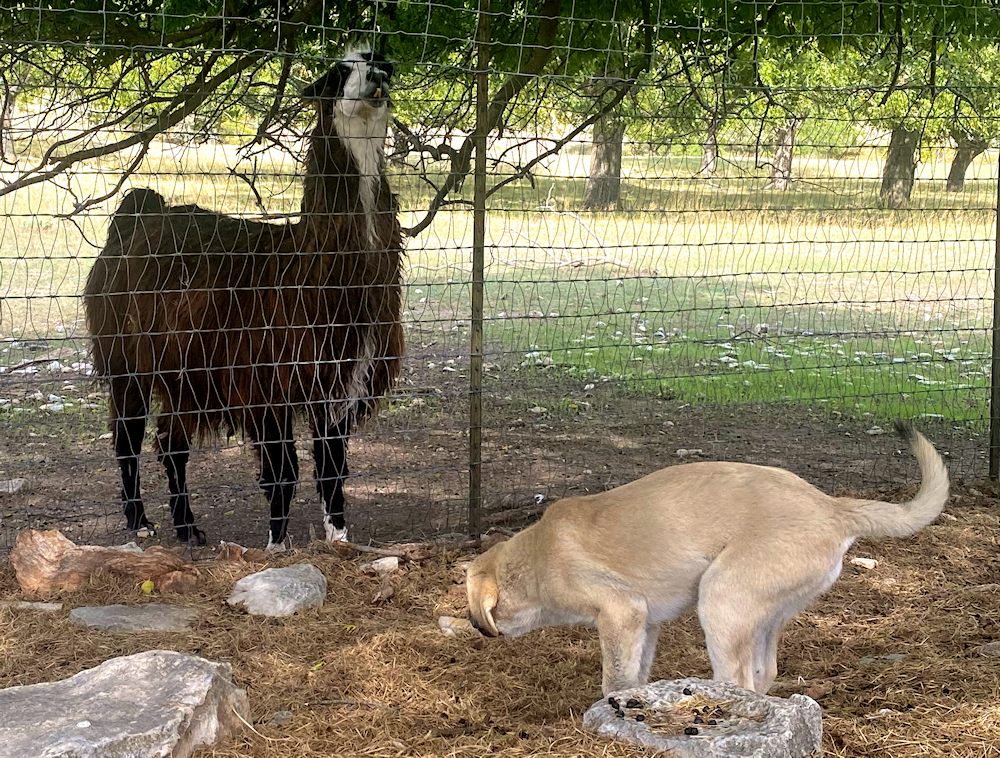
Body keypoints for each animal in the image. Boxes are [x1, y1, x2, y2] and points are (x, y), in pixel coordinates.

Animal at [464, 424, 948, 696]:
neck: (535, 557)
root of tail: (832, 506)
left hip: (720, 597)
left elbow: (614, 679)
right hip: (761, 615)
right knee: (761, 675)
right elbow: (635, 672)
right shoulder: (643, 623)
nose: (474, 625)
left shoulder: (620, 611)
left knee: (737, 680)